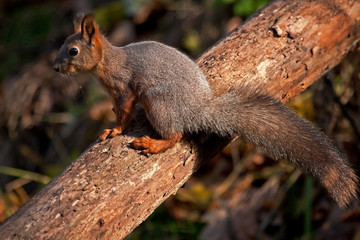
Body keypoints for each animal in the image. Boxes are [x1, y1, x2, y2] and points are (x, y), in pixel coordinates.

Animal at [53, 14, 358, 207]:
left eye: (72, 51)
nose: (55, 68)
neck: (107, 62)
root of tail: (198, 110)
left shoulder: (123, 87)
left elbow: (124, 110)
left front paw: (114, 129)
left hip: (158, 103)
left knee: (175, 136)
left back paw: (152, 144)